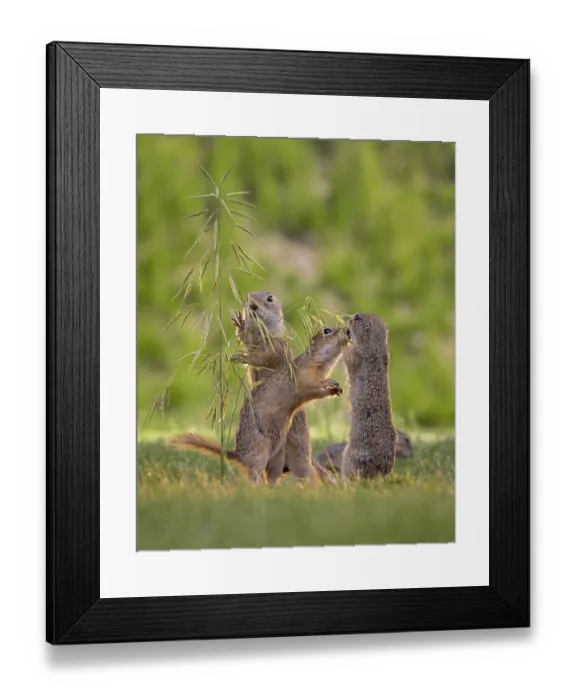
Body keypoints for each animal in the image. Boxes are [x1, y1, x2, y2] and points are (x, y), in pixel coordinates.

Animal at [168, 325, 348, 484]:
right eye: (327, 330)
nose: (347, 330)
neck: (321, 365)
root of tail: (238, 455)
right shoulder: (304, 378)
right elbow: (312, 386)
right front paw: (330, 383)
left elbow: (318, 392)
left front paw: (336, 388)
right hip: (260, 453)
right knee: (254, 475)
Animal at [231, 292, 335, 485]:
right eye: (248, 297)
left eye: (270, 298)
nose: (252, 305)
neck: (262, 333)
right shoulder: (253, 341)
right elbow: (247, 342)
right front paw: (240, 323)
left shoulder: (276, 346)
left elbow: (262, 358)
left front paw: (241, 357)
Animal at [340, 313, 397, 479]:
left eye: (357, 317)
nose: (347, 321)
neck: (376, 345)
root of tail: (380, 472)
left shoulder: (358, 354)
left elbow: (348, 356)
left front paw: (343, 337)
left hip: (348, 457)